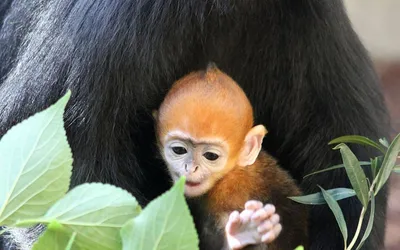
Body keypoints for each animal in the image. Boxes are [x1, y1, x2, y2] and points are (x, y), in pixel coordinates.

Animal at [155, 64, 308, 250]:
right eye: (179, 150)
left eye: (211, 156)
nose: (191, 167)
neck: (229, 173)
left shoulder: (229, 194)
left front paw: (241, 235)